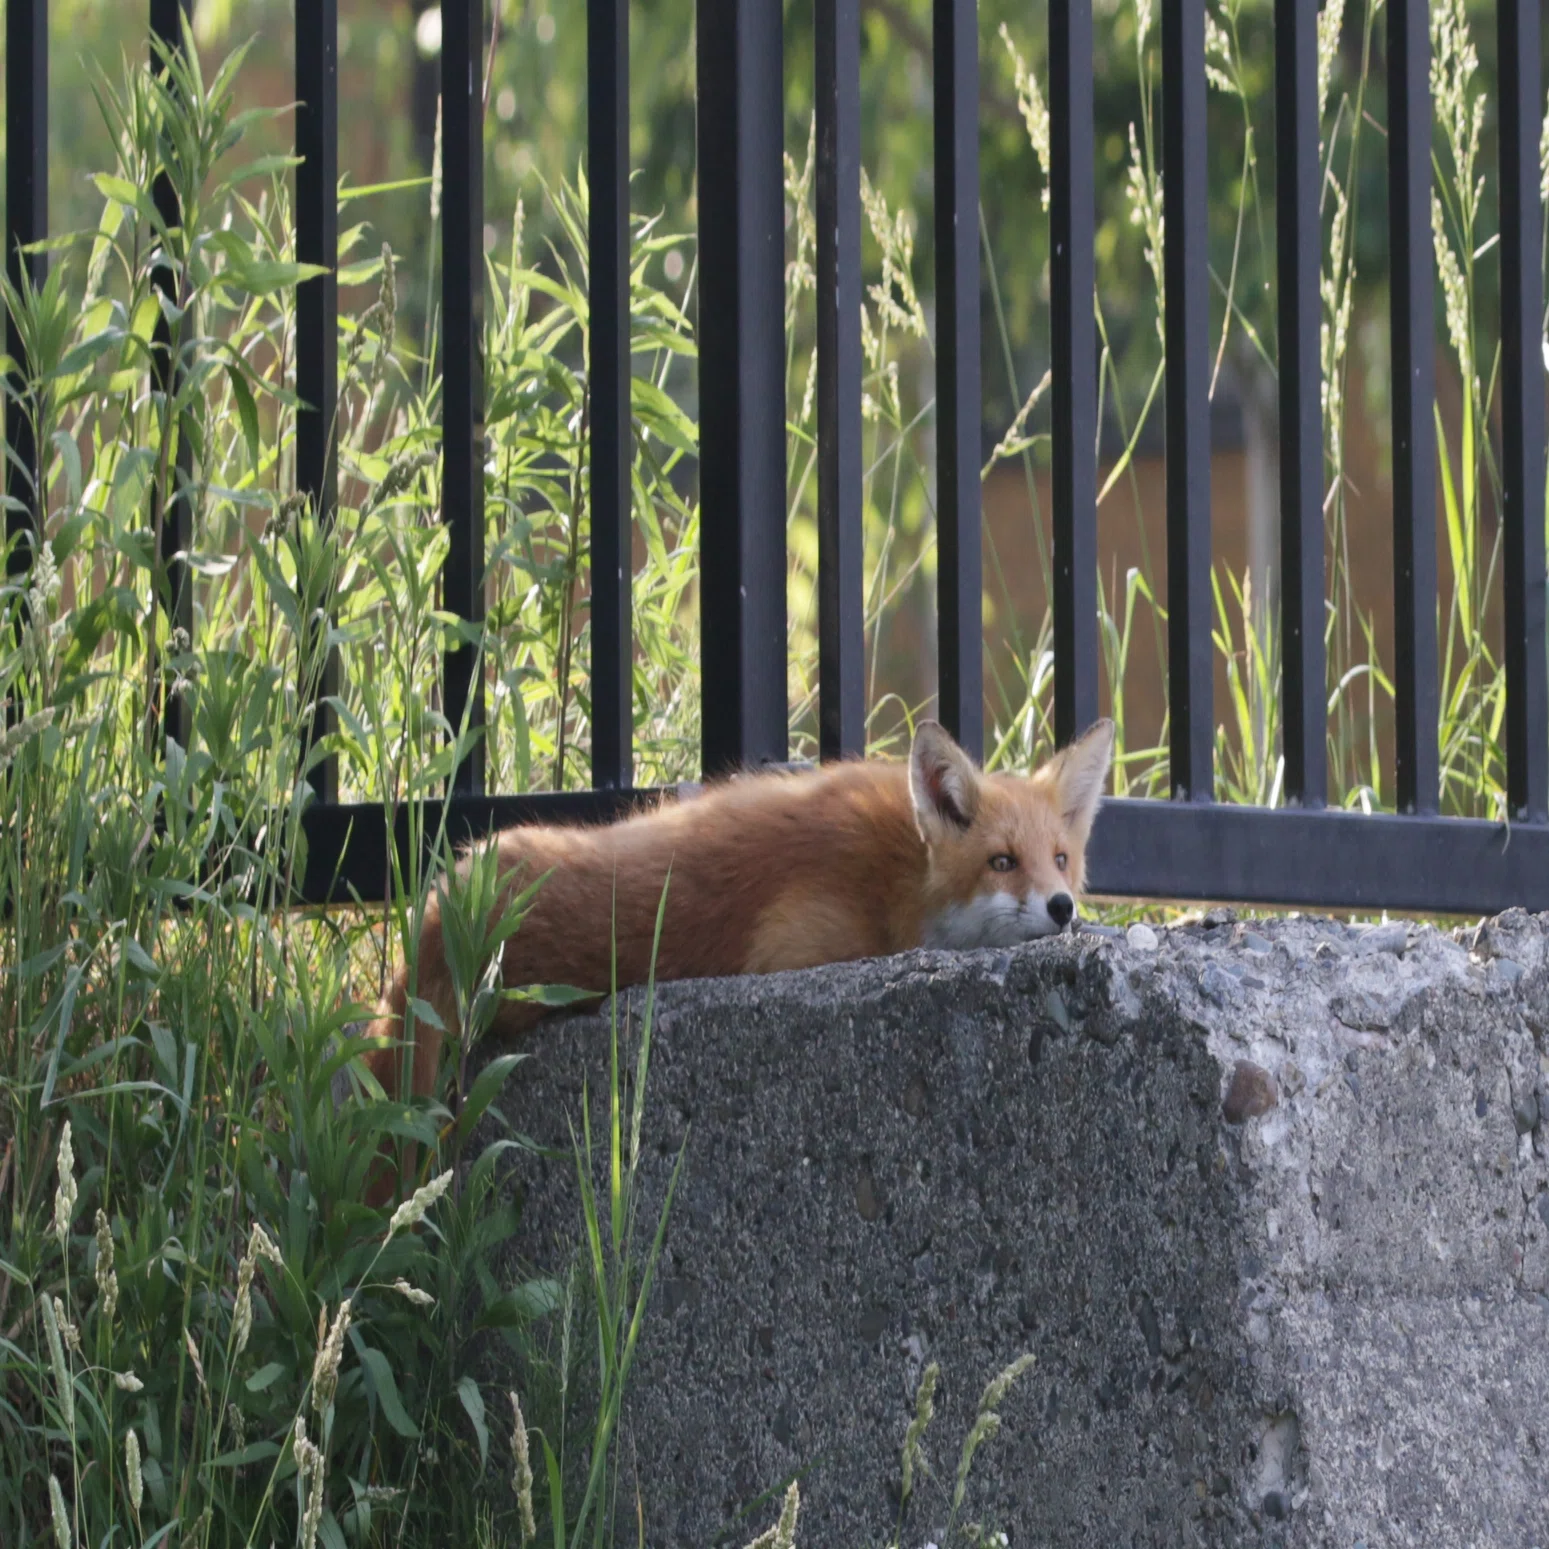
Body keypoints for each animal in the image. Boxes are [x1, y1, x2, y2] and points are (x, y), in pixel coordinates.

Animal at [360, 716, 1115, 1127]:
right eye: (1001, 861)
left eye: (1059, 858)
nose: (1063, 907)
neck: (896, 868)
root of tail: (438, 913)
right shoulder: (798, 947)